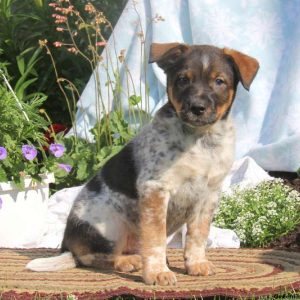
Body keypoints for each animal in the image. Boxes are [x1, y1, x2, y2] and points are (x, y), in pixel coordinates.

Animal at [27, 42, 258, 286]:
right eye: (182, 79)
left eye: (219, 81)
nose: (197, 108)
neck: (201, 140)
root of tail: (67, 246)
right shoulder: (155, 189)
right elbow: (155, 240)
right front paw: (158, 273)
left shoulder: (209, 195)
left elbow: (197, 236)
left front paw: (196, 264)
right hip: (110, 224)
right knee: (92, 257)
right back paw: (127, 261)